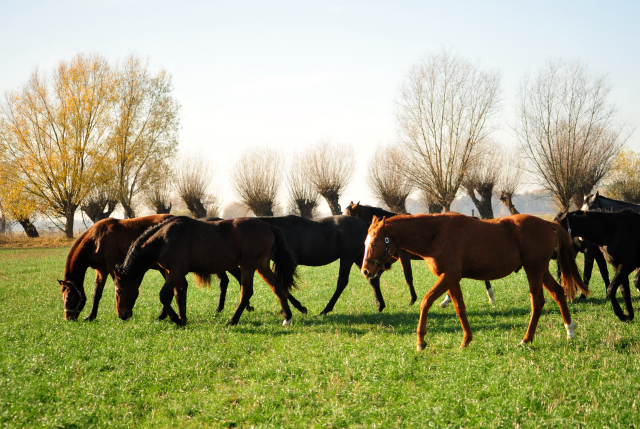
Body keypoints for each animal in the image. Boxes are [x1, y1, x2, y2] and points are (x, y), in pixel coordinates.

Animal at [58, 216, 242, 320]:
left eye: (69, 298)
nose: (68, 318)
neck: (96, 239)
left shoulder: (111, 268)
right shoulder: (101, 270)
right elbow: (97, 294)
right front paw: (91, 316)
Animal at [113, 216, 302, 326]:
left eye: (119, 291)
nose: (122, 315)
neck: (164, 238)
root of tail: (269, 226)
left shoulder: (176, 271)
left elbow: (164, 295)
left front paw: (176, 319)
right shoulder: (173, 272)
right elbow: (179, 295)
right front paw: (182, 318)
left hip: (248, 266)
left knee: (246, 292)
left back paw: (233, 320)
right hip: (261, 266)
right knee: (277, 287)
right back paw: (288, 317)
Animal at [344, 201, 496, 308]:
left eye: (348, 215)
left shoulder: (403, 257)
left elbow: (408, 277)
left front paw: (412, 299)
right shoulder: (389, 258)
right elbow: (376, 276)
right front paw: (378, 301)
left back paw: (489, 296)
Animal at [358, 212, 588, 350]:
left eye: (375, 243)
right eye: (365, 242)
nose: (366, 271)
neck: (436, 233)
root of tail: (547, 223)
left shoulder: (449, 276)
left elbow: (425, 301)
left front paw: (421, 341)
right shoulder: (452, 280)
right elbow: (460, 308)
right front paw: (466, 340)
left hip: (534, 270)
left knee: (537, 302)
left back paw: (526, 339)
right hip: (540, 270)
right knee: (558, 293)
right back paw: (570, 331)